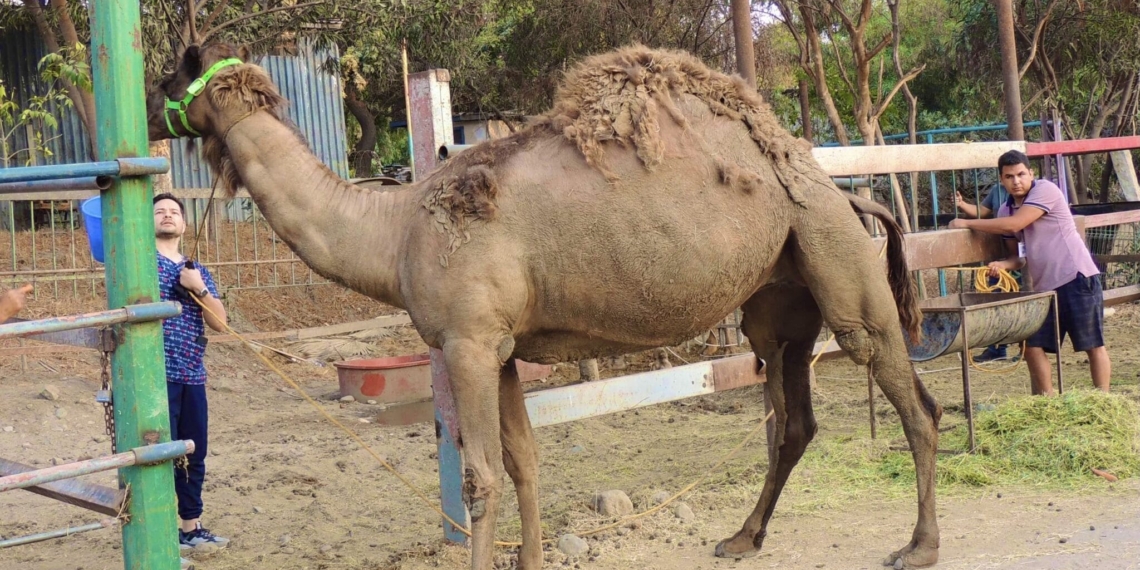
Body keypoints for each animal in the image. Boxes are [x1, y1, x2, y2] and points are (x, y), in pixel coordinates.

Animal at [142, 42, 943, 567]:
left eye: (167, 79)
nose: (147, 115)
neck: (393, 230)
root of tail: (840, 188)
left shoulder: (464, 341)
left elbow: (480, 475)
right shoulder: (500, 348)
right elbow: (525, 461)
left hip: (834, 254)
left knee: (909, 393)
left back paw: (917, 546)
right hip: (780, 298)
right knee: (793, 417)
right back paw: (743, 538)